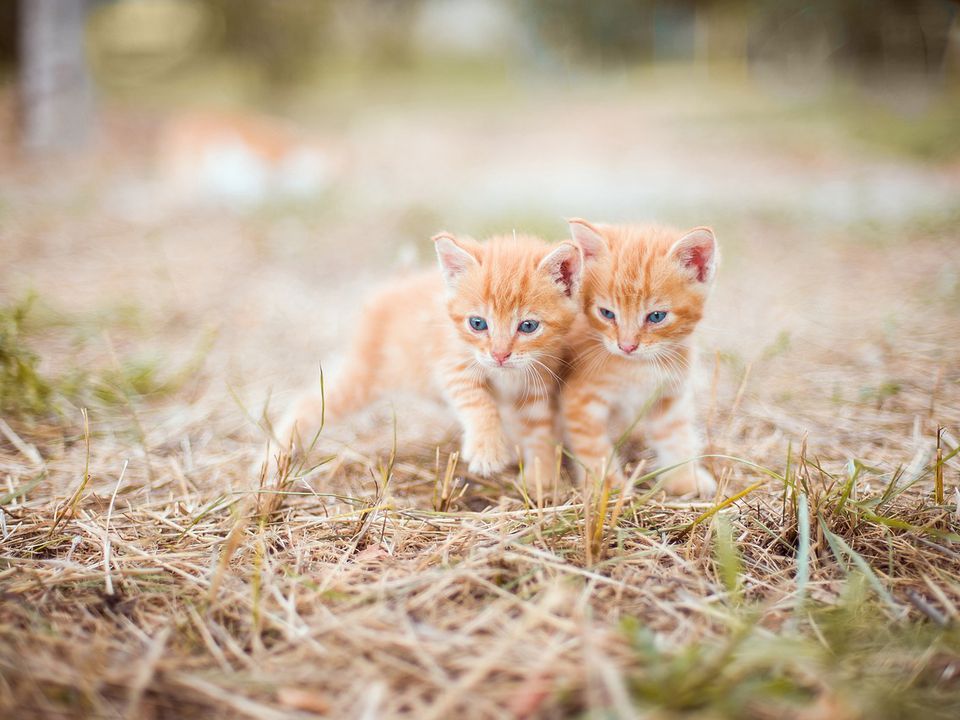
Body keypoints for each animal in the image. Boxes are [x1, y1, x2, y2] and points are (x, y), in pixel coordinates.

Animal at [274, 233, 580, 476]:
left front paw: (542, 479)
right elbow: (479, 403)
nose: (500, 355)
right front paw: (487, 450)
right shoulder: (453, 366)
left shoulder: (536, 385)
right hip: (363, 376)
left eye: (528, 326)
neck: (507, 374)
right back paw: (275, 459)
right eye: (477, 323)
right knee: (308, 403)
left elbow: (540, 430)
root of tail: (396, 283)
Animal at [564, 218, 720, 496]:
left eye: (656, 316)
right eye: (607, 313)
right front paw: (608, 488)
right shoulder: (580, 400)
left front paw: (684, 478)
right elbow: (593, 448)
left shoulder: (669, 395)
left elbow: (676, 437)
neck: (638, 368)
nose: (627, 346)